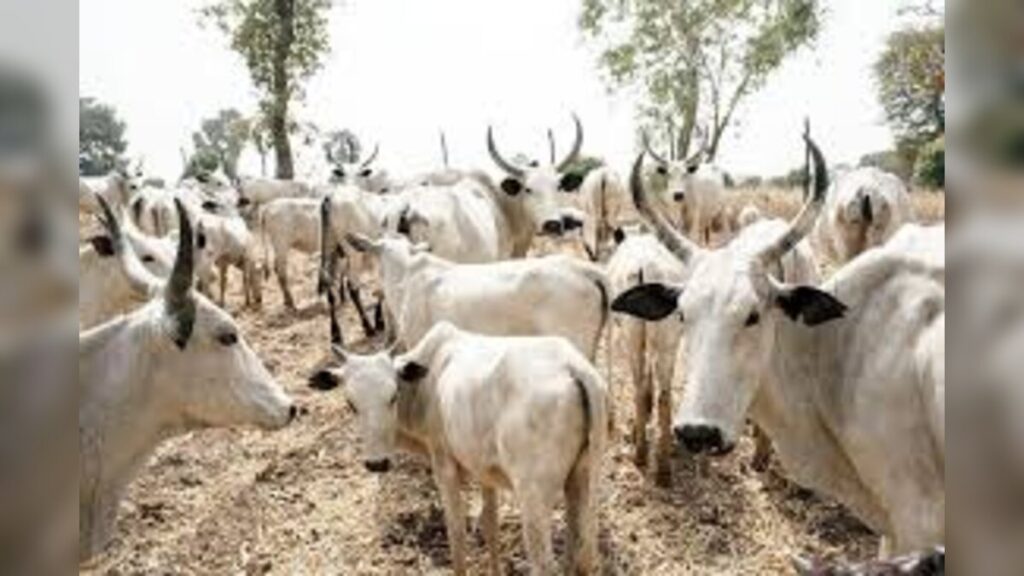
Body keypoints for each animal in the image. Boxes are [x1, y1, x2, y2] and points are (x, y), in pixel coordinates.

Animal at [309, 321, 608, 575]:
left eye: (392, 396)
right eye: (350, 403)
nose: (376, 463)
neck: (426, 384)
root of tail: (572, 367)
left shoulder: (444, 466)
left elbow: (456, 534)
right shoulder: (485, 471)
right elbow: (490, 525)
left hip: (533, 495)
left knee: (545, 564)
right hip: (580, 480)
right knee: (577, 552)